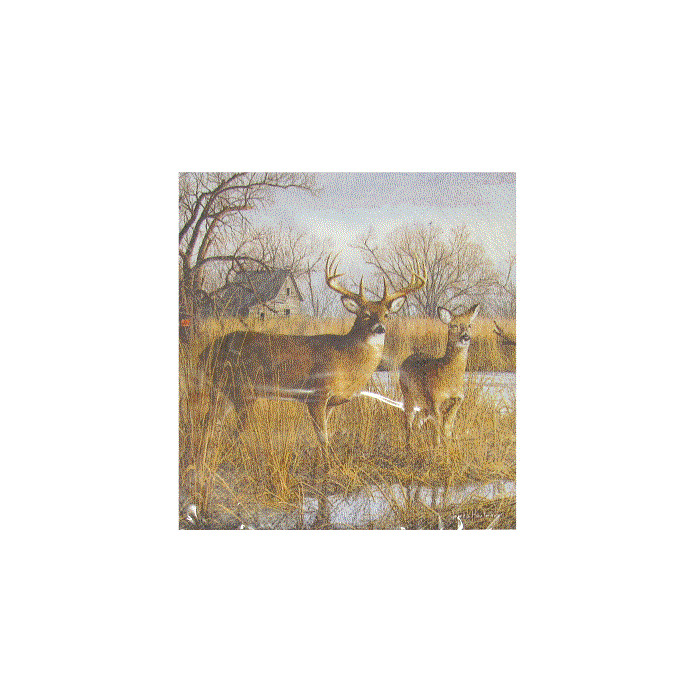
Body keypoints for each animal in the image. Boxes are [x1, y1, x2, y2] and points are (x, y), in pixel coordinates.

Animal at [399, 303, 480, 448]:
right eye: (454, 325)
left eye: (470, 325)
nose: (465, 337)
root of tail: (407, 358)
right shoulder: (434, 398)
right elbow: (437, 427)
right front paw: (437, 446)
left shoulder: (459, 398)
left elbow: (448, 425)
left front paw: (447, 444)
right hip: (408, 394)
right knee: (408, 423)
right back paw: (409, 446)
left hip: (423, 404)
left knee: (417, 423)